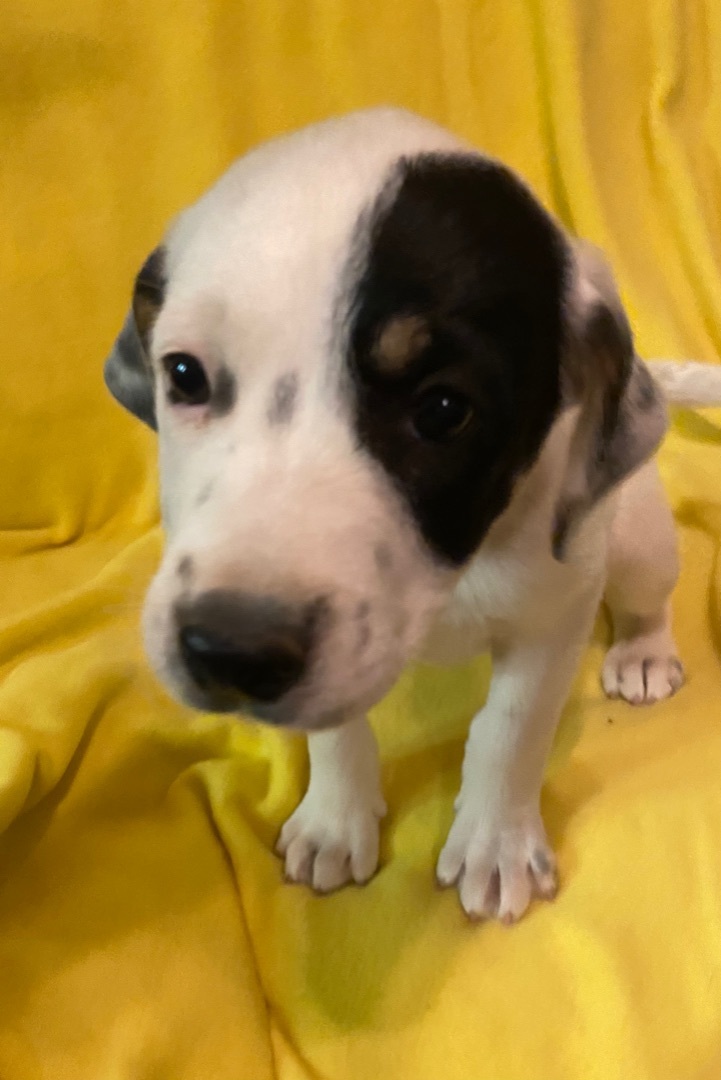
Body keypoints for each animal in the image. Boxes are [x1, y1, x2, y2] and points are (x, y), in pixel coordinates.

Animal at [105, 107, 721, 920]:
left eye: (443, 410)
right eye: (183, 374)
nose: (230, 652)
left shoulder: (553, 613)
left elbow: (510, 730)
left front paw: (495, 843)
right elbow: (336, 732)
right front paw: (335, 818)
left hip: (636, 536)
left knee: (648, 595)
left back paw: (643, 652)